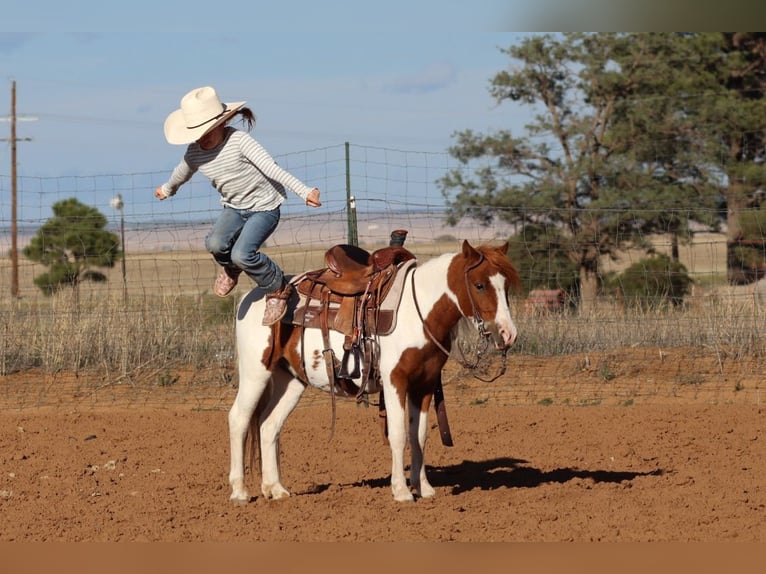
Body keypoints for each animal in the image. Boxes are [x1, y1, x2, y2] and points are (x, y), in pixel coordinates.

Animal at [227, 239, 520, 503]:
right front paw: (401, 491)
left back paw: (275, 489)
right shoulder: (395, 382)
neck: (419, 313)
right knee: (239, 419)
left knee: (268, 425)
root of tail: (250, 297)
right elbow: (399, 435)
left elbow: (419, 436)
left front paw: (423, 488)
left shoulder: (424, 385)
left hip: (291, 380)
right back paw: (240, 492)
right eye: (479, 285)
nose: (508, 334)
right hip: (256, 373)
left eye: (505, 285)